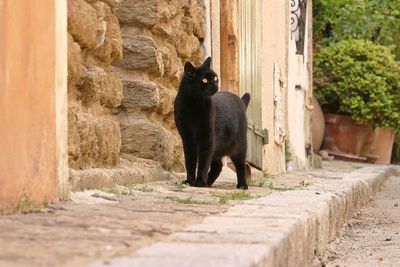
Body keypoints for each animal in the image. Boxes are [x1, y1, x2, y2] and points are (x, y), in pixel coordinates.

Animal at [173, 57, 248, 189]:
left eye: (215, 78)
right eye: (204, 80)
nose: (215, 84)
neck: (193, 105)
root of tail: (240, 100)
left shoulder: (207, 138)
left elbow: (203, 163)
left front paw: (200, 182)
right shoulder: (187, 139)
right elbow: (190, 162)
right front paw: (190, 181)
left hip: (239, 146)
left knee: (240, 165)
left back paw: (242, 185)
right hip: (217, 148)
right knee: (218, 166)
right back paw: (208, 182)